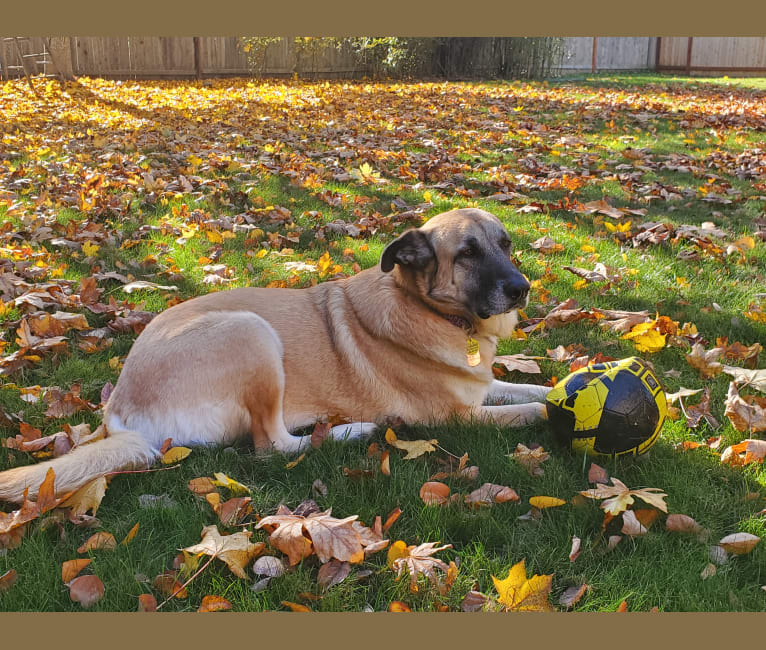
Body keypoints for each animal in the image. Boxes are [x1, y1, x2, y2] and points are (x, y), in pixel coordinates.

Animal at [0, 208, 552, 502]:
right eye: (467, 253)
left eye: (505, 244)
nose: (522, 288)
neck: (431, 310)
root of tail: (120, 415)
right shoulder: (459, 416)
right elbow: (535, 409)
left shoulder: (484, 387)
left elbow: (535, 387)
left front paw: (566, 382)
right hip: (252, 332)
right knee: (273, 445)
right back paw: (354, 430)